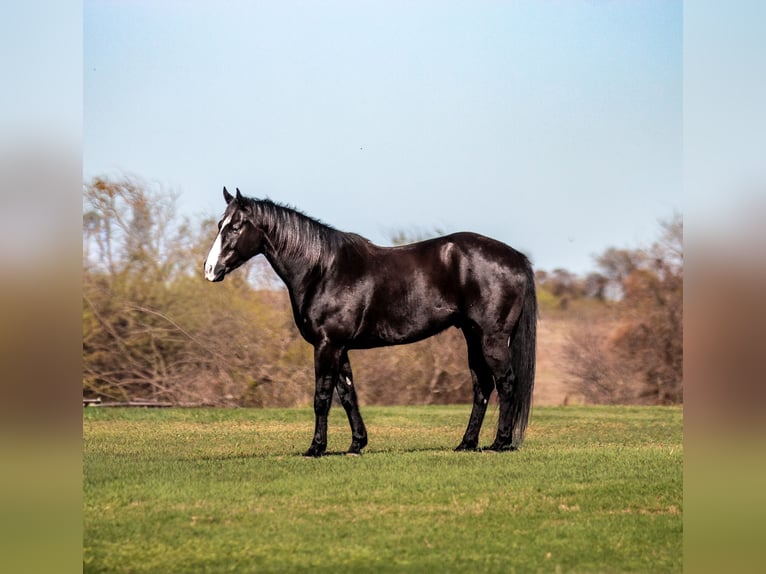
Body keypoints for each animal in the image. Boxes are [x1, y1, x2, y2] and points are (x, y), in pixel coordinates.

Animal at [204, 187, 537, 457]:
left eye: (236, 226)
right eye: (220, 225)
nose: (209, 270)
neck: (322, 270)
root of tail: (517, 258)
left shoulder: (327, 345)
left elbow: (322, 397)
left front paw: (316, 448)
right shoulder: (340, 347)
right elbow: (348, 395)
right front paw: (356, 444)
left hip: (492, 338)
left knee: (506, 383)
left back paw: (499, 443)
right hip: (472, 334)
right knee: (482, 385)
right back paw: (466, 443)